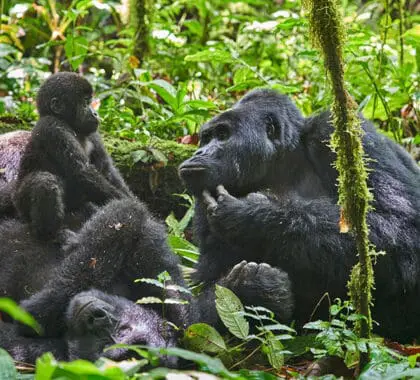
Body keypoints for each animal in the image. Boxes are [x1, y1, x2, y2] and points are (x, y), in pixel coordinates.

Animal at [13, 72, 132, 242]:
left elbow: (107, 170)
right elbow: (81, 171)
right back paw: (50, 234)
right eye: (85, 103)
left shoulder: (94, 133)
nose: (95, 113)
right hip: (21, 206)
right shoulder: (52, 127)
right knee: (44, 181)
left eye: (90, 101)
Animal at [180, 88, 420, 342]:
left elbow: (400, 227)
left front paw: (252, 217)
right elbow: (196, 305)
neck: (282, 161)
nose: (199, 151)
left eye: (223, 134)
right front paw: (250, 289)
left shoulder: (338, 132)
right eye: (206, 138)